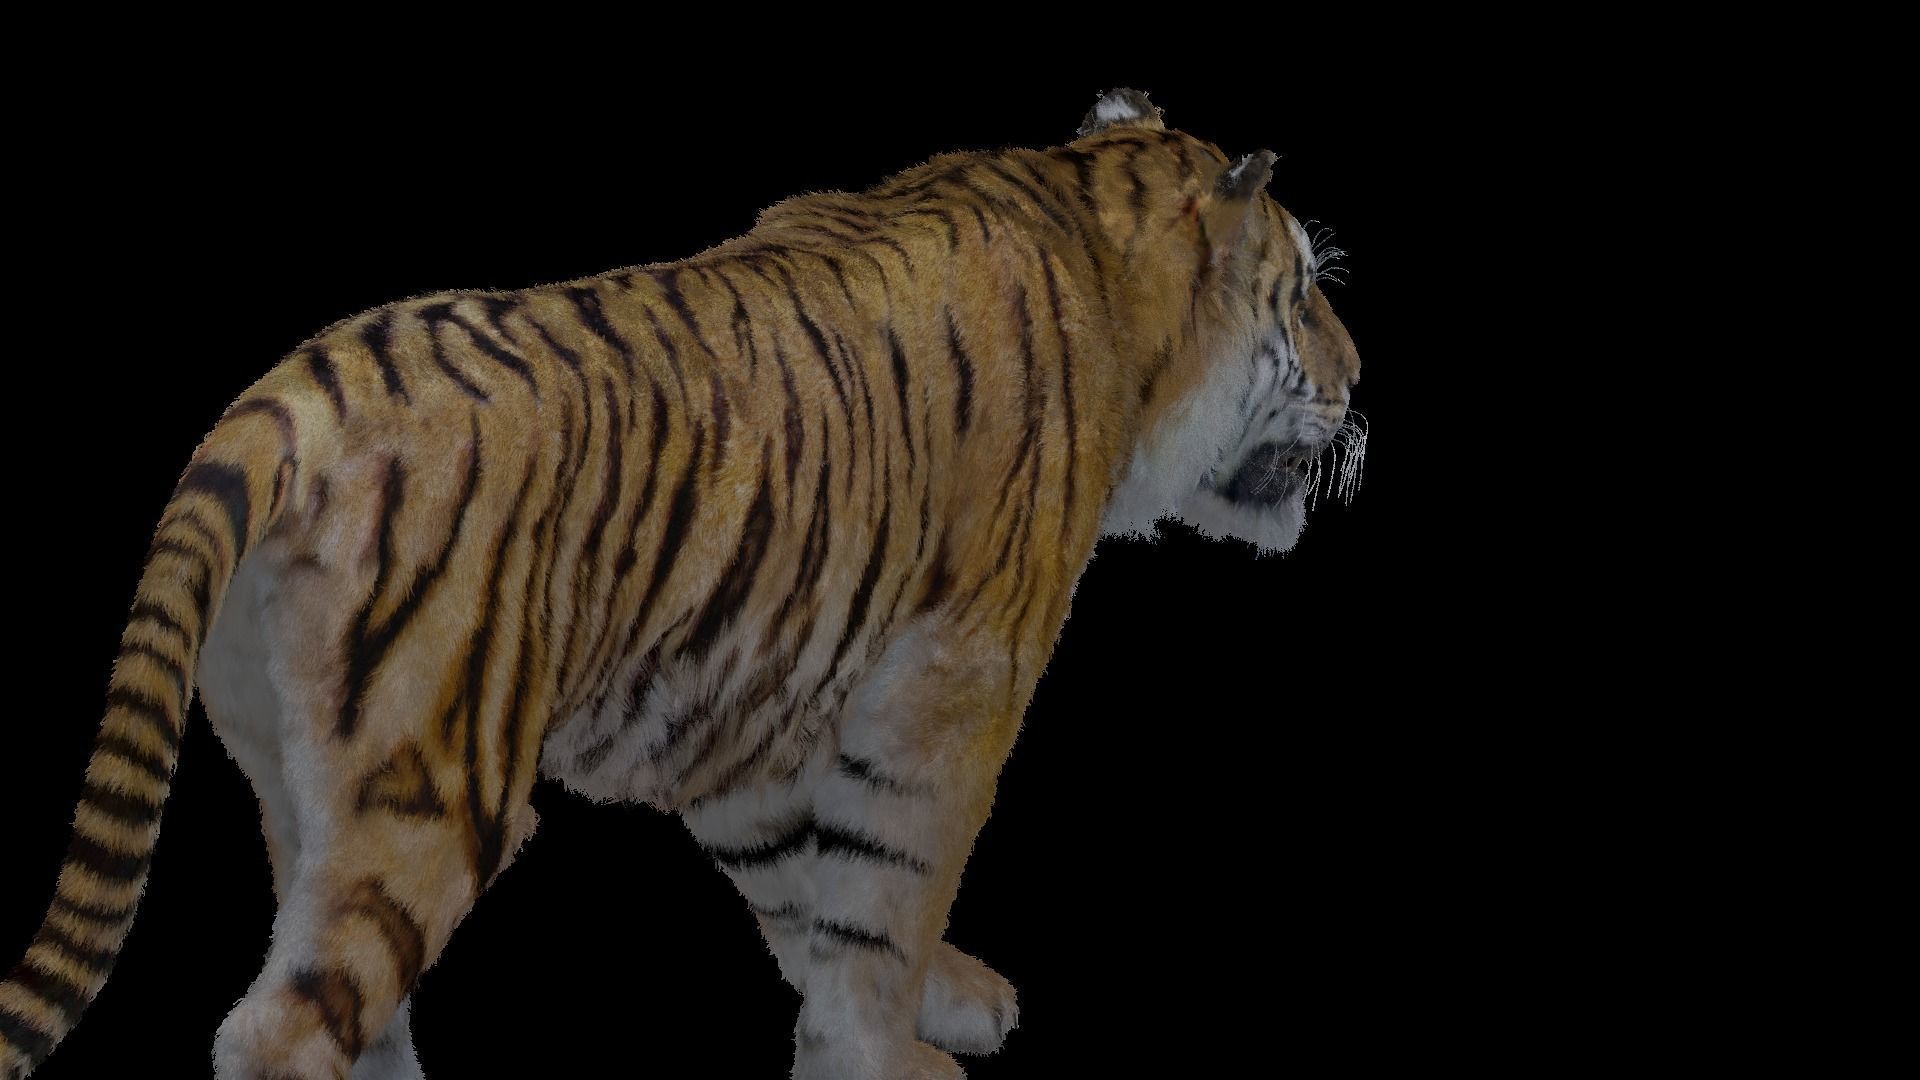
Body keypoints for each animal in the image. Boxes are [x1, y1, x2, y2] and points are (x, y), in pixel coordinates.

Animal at [0, 87, 1361, 1079]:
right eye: (1303, 295)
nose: (1358, 379)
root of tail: (291, 393)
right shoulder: (957, 675)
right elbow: (891, 880)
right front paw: (890, 1057)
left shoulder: (746, 705)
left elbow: (817, 883)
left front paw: (919, 1007)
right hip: (435, 793)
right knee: (280, 1032)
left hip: (293, 778)